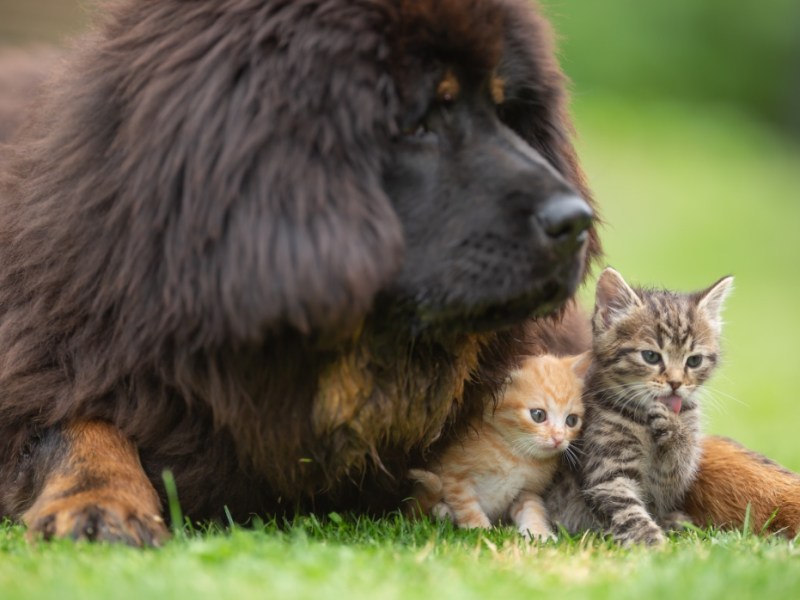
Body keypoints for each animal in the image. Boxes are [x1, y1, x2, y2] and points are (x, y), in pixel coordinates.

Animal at [412, 352, 588, 540]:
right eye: (538, 415)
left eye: (572, 420)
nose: (559, 438)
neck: (516, 455)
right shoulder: (452, 473)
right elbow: (466, 505)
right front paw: (480, 530)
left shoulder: (526, 491)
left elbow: (532, 509)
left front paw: (539, 533)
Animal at [548, 268, 736, 544]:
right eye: (651, 356)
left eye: (694, 361)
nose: (676, 383)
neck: (642, 418)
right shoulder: (606, 472)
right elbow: (627, 511)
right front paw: (652, 543)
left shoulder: (669, 478)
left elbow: (677, 469)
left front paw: (674, 430)